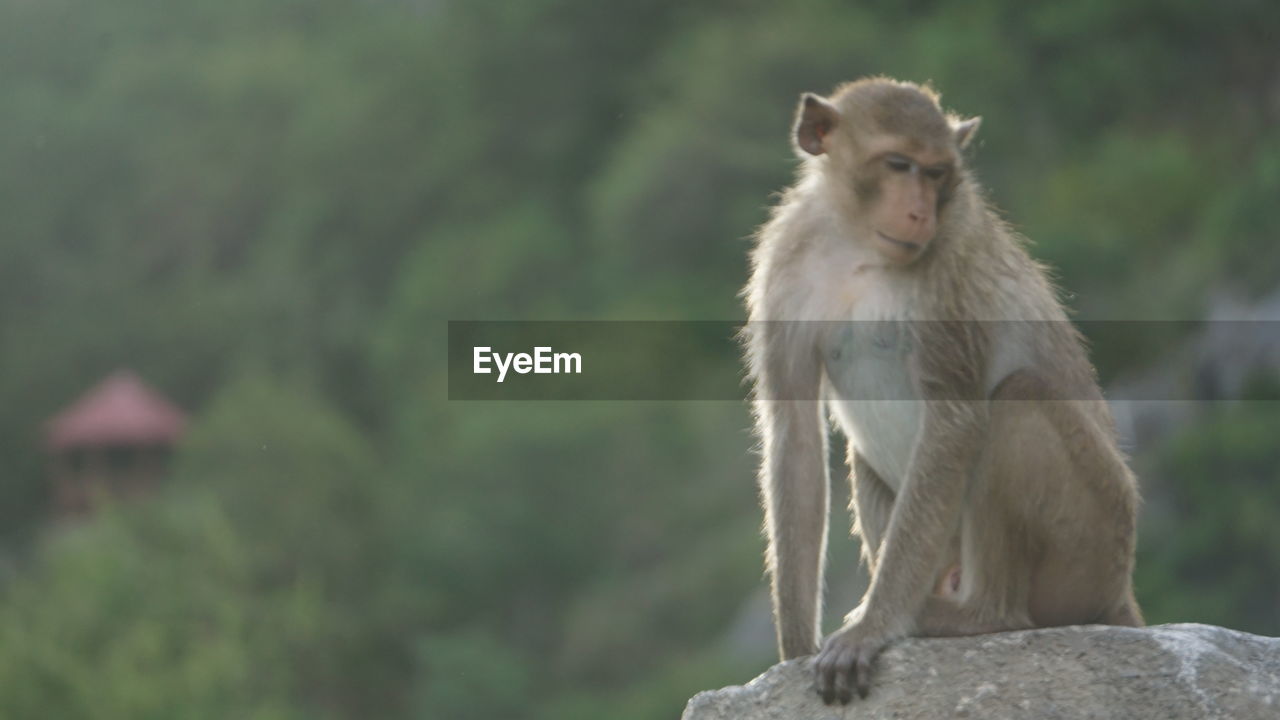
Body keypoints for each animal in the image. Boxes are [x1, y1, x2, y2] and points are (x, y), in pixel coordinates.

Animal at [737, 77, 1146, 702]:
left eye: (936, 173)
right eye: (898, 164)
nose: (919, 212)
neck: (858, 246)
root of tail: (1120, 590)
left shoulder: (947, 269)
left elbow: (955, 419)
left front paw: (873, 628)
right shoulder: (782, 267)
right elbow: (795, 435)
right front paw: (795, 648)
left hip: (1097, 540)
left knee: (1020, 400)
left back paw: (980, 615)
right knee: (863, 458)